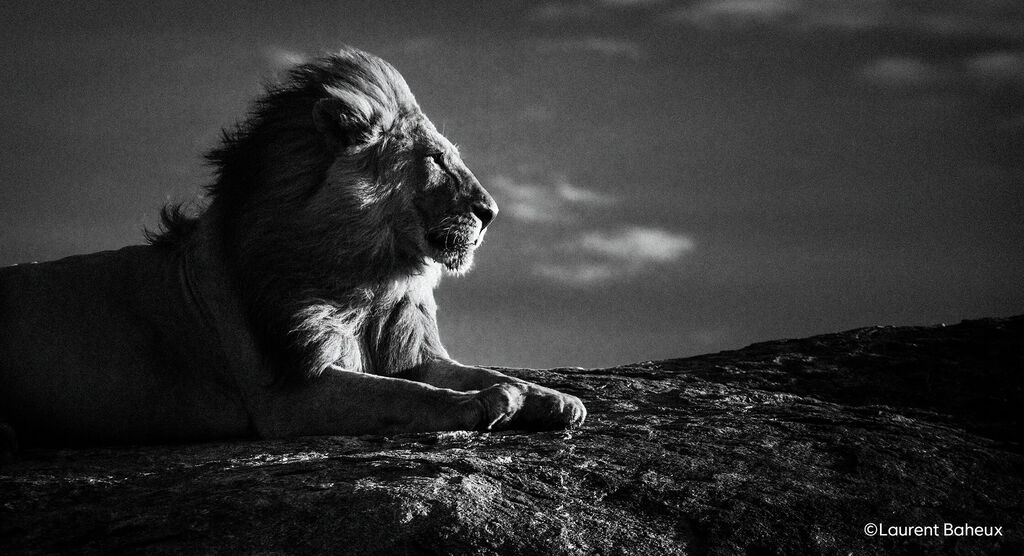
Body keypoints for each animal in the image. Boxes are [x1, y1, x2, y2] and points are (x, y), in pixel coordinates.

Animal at [0, 47, 586, 448]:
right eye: (437, 159)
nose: (492, 213)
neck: (370, 274)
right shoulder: (290, 394)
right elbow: (406, 395)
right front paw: (489, 403)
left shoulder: (403, 351)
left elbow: (473, 371)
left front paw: (553, 398)